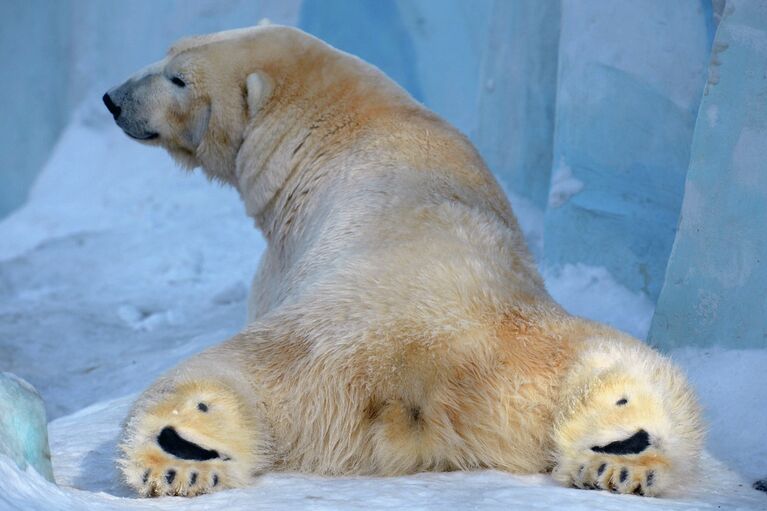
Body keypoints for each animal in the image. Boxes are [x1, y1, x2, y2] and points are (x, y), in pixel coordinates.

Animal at [105, 26, 704, 498]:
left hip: (299, 352)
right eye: (169, 54)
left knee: (206, 381)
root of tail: (420, 373)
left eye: (178, 78)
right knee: (629, 372)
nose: (113, 98)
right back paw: (622, 457)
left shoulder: (282, 257)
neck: (339, 123)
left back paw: (179, 457)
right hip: (535, 352)